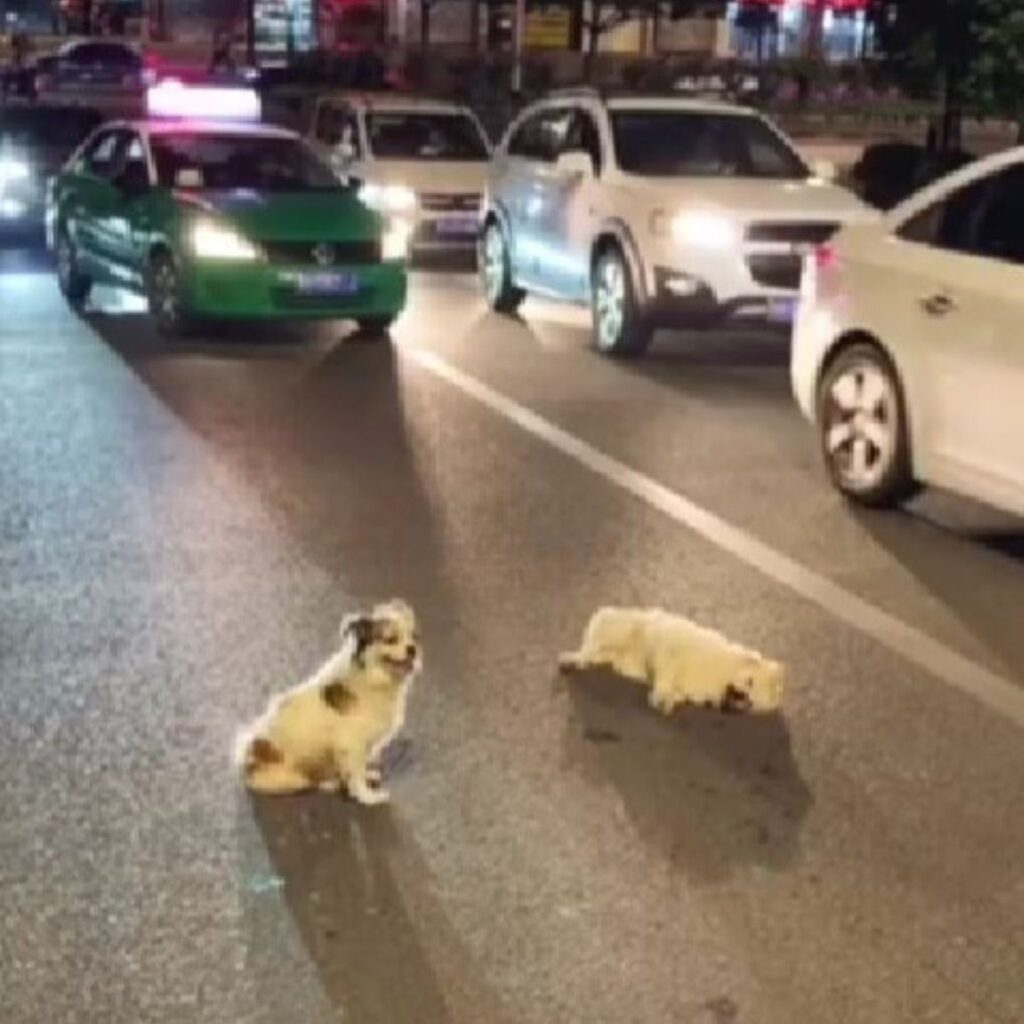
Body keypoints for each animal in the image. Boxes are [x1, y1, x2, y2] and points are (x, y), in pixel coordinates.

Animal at [234, 598, 419, 806]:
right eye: (390, 639)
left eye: (414, 637)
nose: (412, 649)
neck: (374, 678)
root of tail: (248, 757)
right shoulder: (351, 745)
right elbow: (356, 776)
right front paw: (367, 796)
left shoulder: (360, 747)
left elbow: (361, 767)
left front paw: (367, 776)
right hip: (295, 778)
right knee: (312, 780)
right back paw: (331, 782)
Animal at [561, 602, 782, 716]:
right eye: (749, 682)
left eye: (751, 703)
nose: (741, 697)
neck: (724, 672)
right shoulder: (673, 647)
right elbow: (668, 669)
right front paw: (661, 696)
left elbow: (679, 694)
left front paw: (666, 701)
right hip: (614, 624)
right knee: (590, 646)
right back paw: (572, 658)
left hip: (610, 652)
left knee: (595, 656)